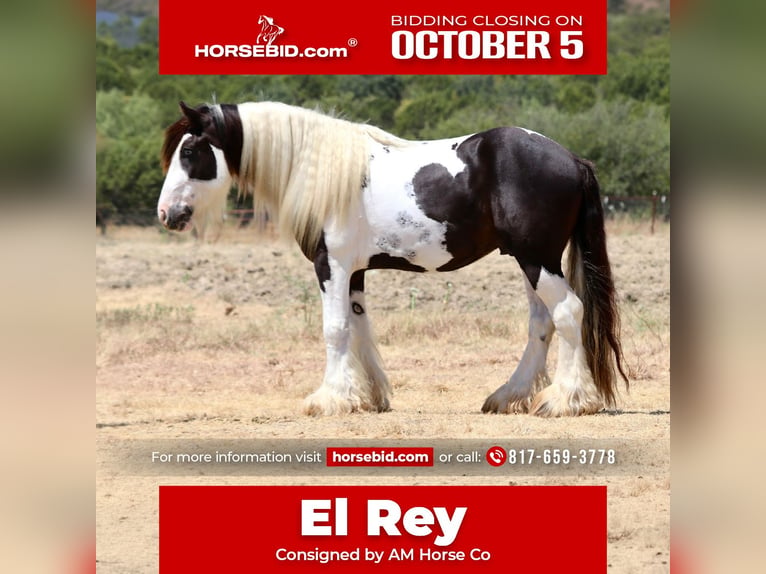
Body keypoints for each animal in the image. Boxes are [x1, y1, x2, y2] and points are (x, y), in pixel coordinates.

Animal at [158, 101, 628, 417]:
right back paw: (508, 396)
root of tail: (573, 159)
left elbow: (335, 330)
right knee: (541, 324)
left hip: (537, 259)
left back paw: (565, 400)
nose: (167, 214)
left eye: (190, 152)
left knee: (568, 313)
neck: (323, 171)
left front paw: (328, 399)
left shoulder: (331, 265)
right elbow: (359, 329)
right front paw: (367, 396)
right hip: (529, 260)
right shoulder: (355, 272)